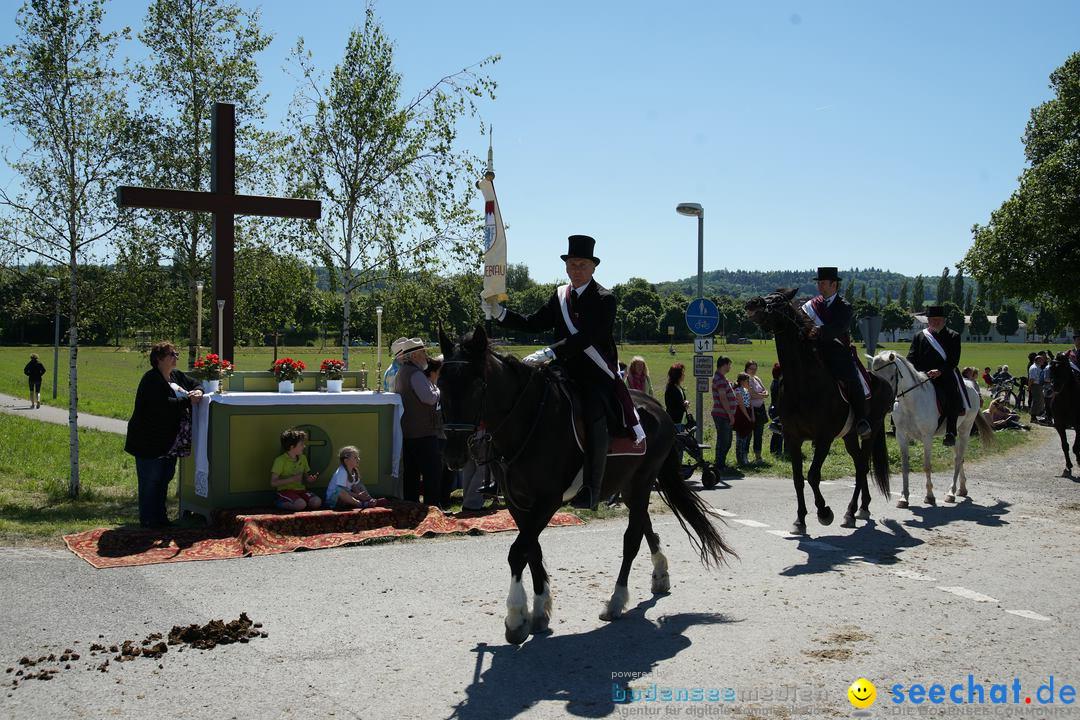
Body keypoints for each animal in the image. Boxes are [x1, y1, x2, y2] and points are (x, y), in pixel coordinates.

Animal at [436, 325, 734, 643]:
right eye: (440, 385)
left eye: (477, 385)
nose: (453, 454)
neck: (529, 421)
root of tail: (660, 410)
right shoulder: (518, 503)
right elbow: (532, 551)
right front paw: (540, 610)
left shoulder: (547, 501)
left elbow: (518, 552)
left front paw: (516, 618)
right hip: (630, 487)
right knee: (645, 525)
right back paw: (660, 576)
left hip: (643, 482)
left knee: (632, 539)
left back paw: (616, 601)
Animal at [747, 289, 889, 535]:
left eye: (779, 300)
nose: (752, 303)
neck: (803, 383)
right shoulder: (792, 437)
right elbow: (798, 478)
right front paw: (799, 520)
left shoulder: (824, 437)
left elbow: (813, 475)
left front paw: (824, 512)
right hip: (850, 435)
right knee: (859, 464)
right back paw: (861, 508)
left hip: (870, 430)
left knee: (862, 466)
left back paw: (851, 511)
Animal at [868, 349, 993, 507]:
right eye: (874, 377)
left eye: (891, 376)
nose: (883, 403)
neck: (911, 403)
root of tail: (972, 387)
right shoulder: (901, 436)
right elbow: (905, 466)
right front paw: (904, 497)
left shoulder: (927, 437)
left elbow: (927, 466)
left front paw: (930, 496)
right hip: (953, 432)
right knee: (959, 456)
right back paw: (962, 488)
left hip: (965, 430)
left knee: (958, 458)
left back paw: (951, 493)